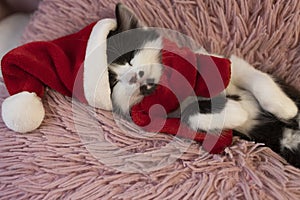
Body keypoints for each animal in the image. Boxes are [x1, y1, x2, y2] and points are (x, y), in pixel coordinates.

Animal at [106, 4, 298, 167]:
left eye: (129, 57)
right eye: (113, 82)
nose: (134, 77)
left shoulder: (225, 64)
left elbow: (255, 76)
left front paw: (283, 106)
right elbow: (189, 114)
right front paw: (237, 113)